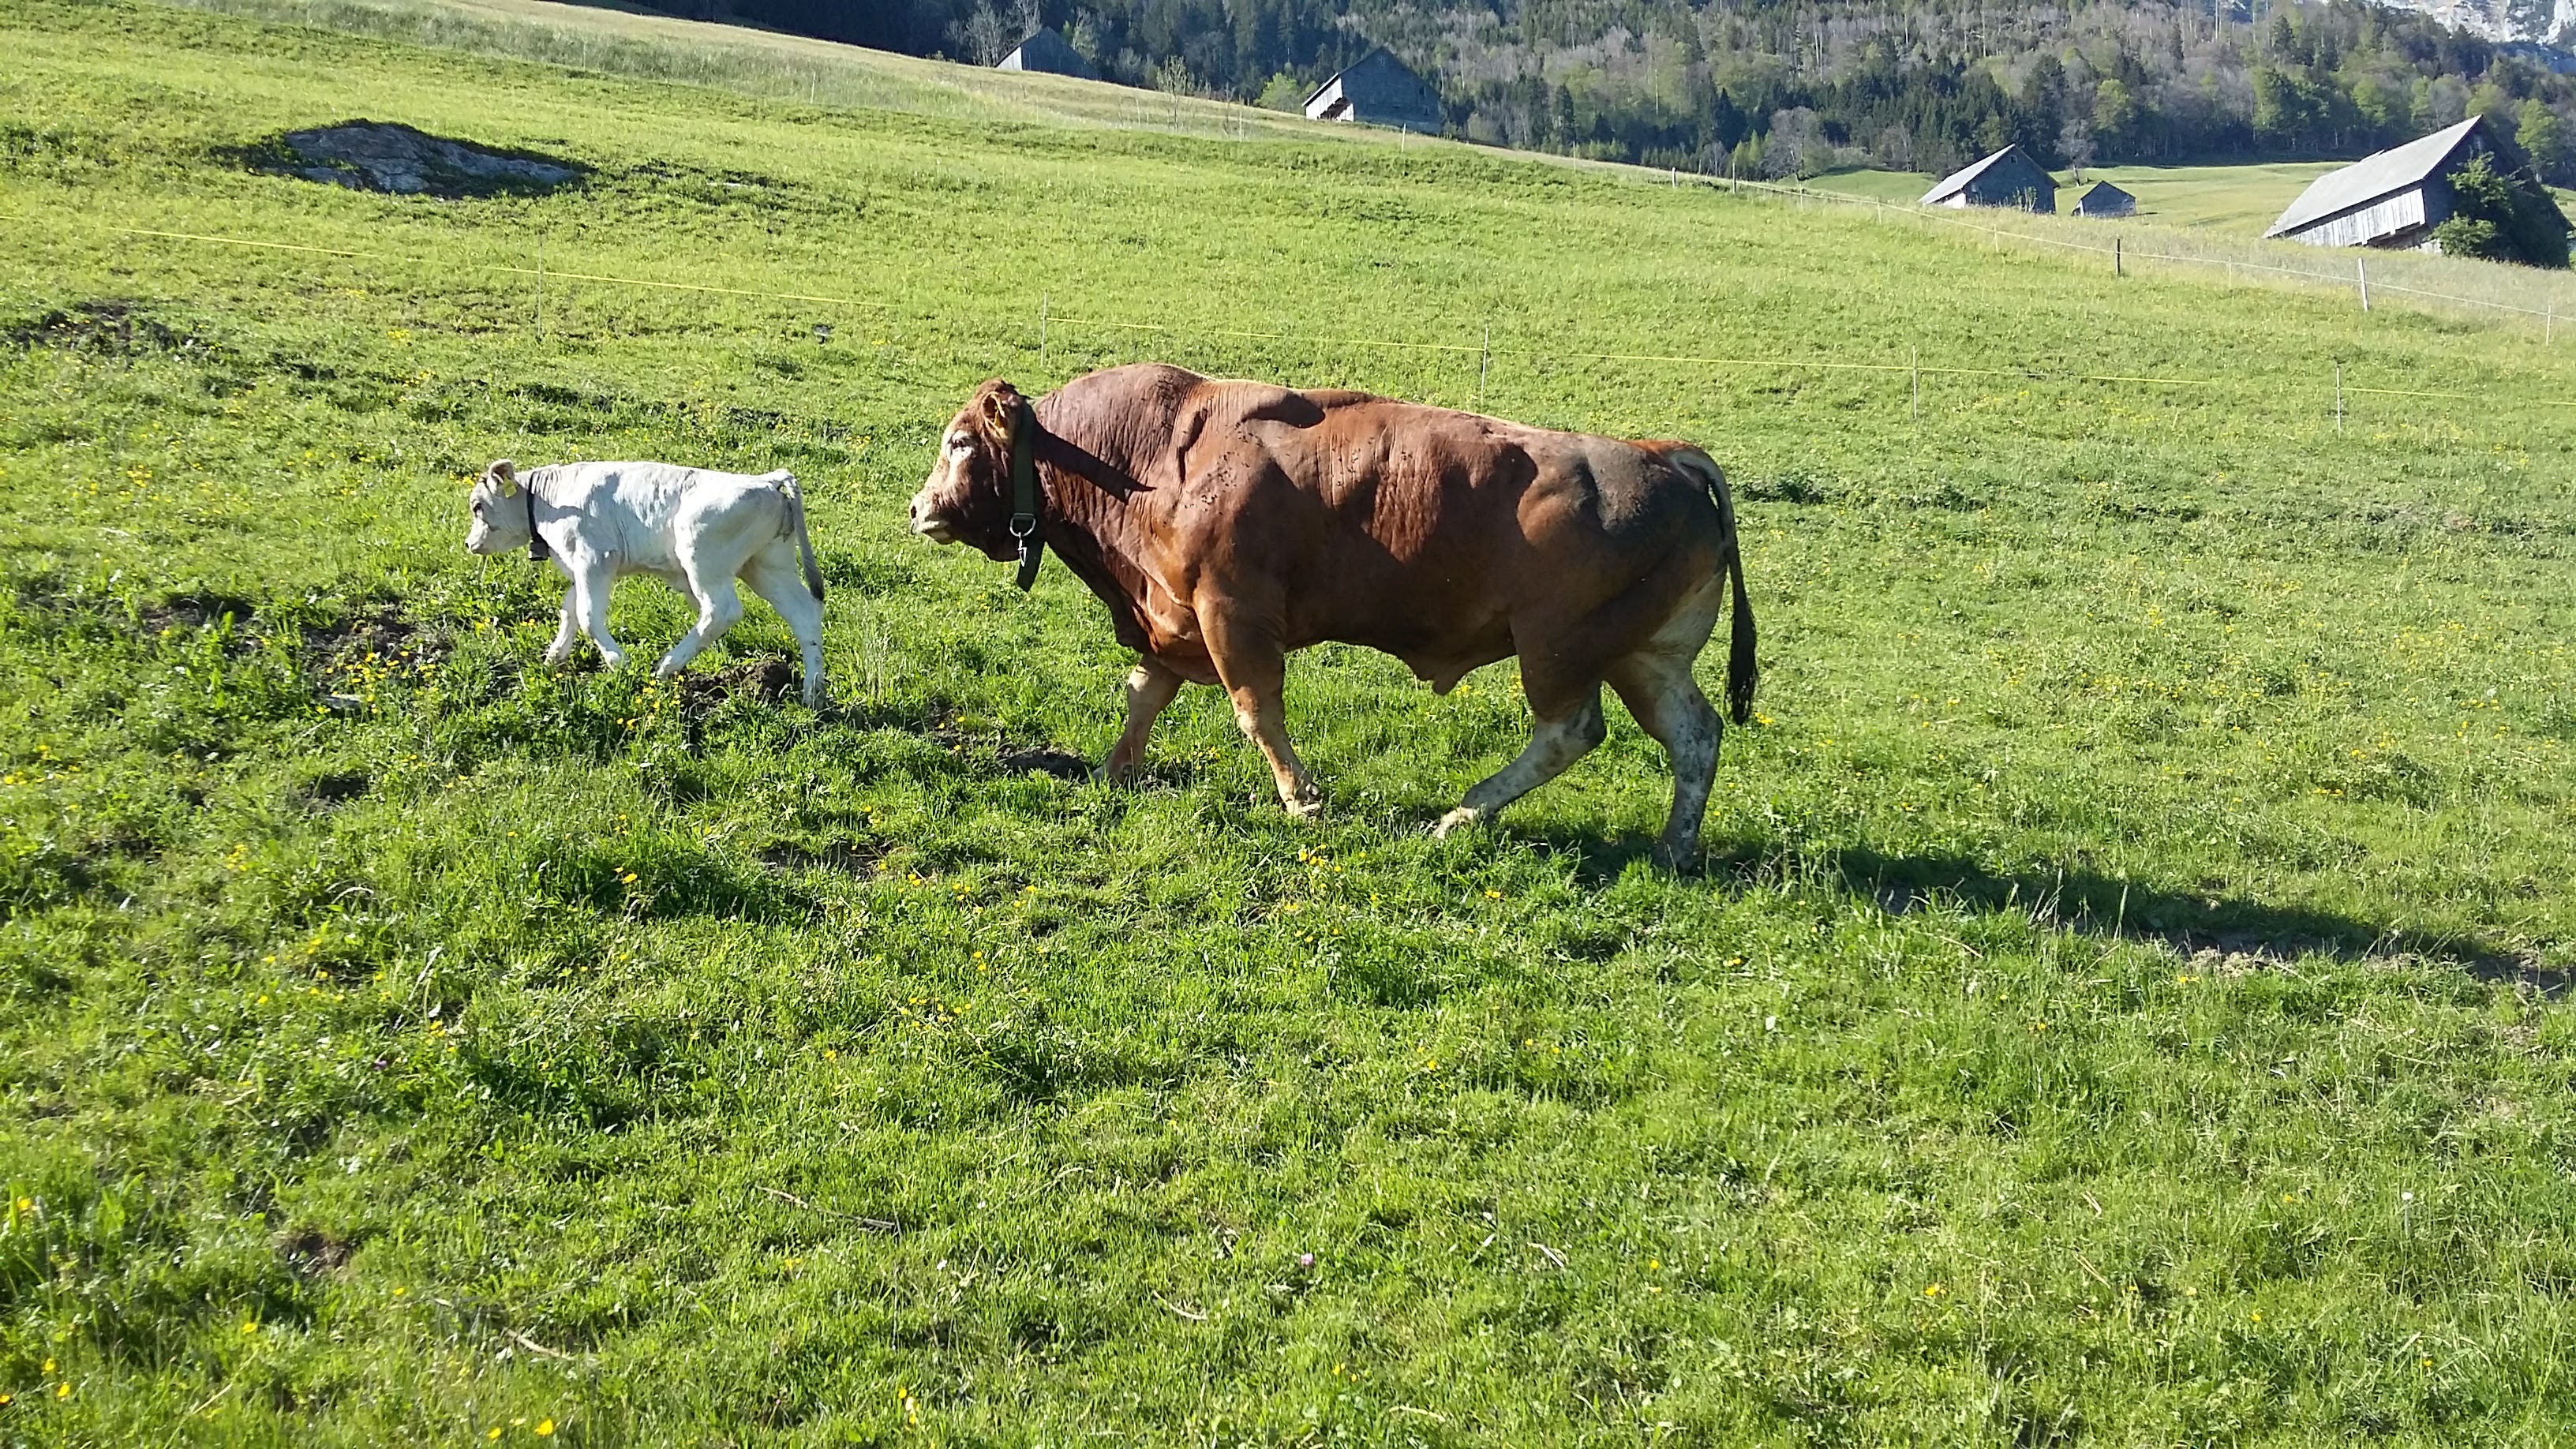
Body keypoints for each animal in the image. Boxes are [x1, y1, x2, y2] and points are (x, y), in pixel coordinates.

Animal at [464, 459, 827, 706]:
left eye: (478, 506)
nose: (469, 544)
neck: (551, 501)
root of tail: (766, 480)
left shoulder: (595, 559)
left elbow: (588, 617)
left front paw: (617, 662)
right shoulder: (581, 568)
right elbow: (570, 611)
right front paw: (555, 658)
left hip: (704, 561)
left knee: (721, 611)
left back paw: (666, 667)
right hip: (767, 565)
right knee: (803, 614)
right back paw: (814, 693)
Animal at [908, 364, 1757, 868]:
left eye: (960, 443)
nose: (918, 508)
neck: (1152, 458)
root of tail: (1660, 454)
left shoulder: (1231, 613)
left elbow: (1256, 711)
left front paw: (1303, 799)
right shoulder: (1173, 617)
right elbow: (1143, 693)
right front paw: (1116, 770)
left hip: (1557, 651)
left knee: (1571, 730)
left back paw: (1463, 815)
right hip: (1646, 659)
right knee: (1694, 735)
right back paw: (1674, 848)